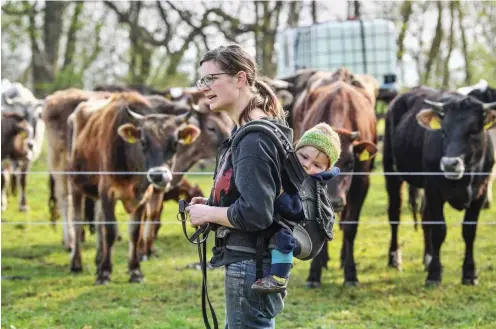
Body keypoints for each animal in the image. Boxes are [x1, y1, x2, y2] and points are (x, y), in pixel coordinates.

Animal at [1, 80, 44, 211]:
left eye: (35, 118)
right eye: (22, 116)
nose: (30, 143)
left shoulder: (28, 157)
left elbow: (23, 180)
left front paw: (23, 205)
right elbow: (3, 178)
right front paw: (2, 203)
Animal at [292, 68, 378, 286]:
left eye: (350, 163)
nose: (336, 200)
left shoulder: (361, 183)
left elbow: (349, 228)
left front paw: (351, 274)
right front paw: (314, 274)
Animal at [384, 86, 496, 284]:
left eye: (473, 131)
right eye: (443, 131)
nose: (450, 163)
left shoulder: (479, 193)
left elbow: (469, 231)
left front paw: (469, 273)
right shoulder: (434, 190)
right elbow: (439, 229)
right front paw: (434, 274)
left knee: (424, 215)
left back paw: (427, 258)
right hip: (392, 172)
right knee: (394, 214)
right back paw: (395, 258)